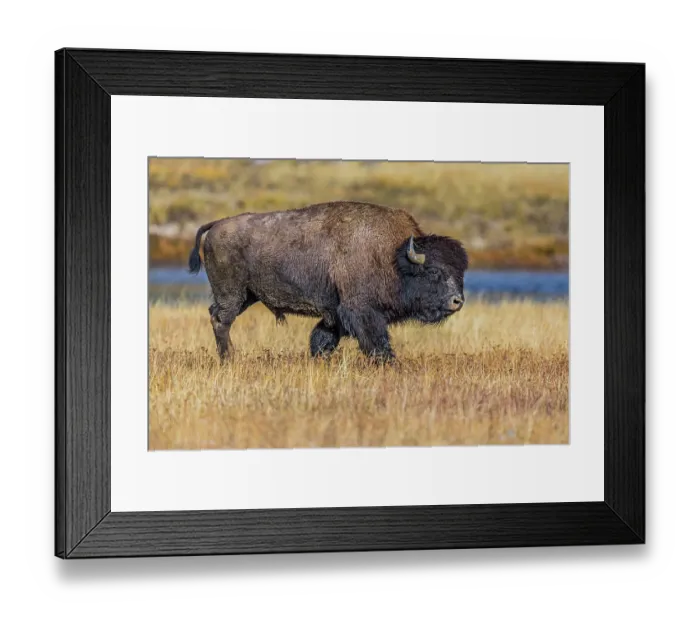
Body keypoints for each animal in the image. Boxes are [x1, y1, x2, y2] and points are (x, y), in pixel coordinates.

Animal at [188, 201, 468, 362]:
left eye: (461, 272)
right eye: (433, 271)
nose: (457, 301)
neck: (393, 257)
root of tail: (217, 225)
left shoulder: (335, 314)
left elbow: (322, 338)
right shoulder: (361, 311)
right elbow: (376, 341)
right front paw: (389, 364)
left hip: (248, 295)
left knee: (216, 315)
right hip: (232, 294)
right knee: (221, 320)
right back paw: (229, 358)